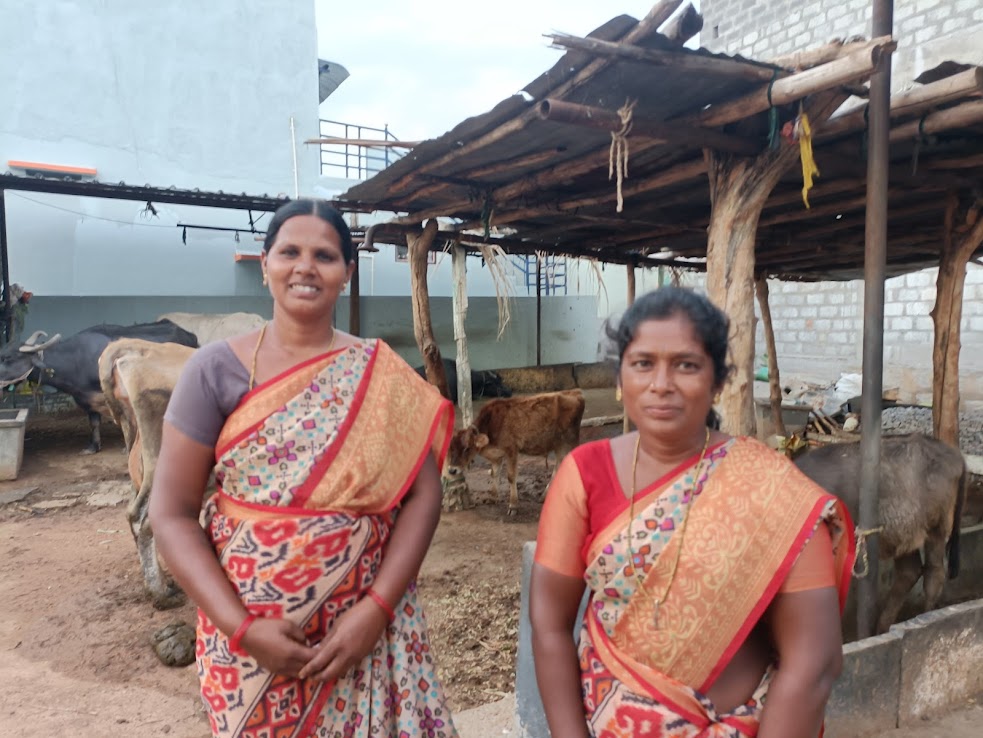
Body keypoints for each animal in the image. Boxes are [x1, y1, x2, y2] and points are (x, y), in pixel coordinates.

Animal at [446, 388, 584, 516]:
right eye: (451, 448)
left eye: (467, 448)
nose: (452, 470)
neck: (492, 424)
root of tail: (576, 392)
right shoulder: (497, 455)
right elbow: (494, 473)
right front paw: (493, 497)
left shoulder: (511, 449)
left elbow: (511, 477)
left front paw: (513, 505)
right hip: (559, 446)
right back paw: (545, 496)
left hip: (568, 442)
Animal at [796, 432, 964, 632]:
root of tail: (952, 454)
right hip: (903, 534)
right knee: (910, 571)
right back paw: (883, 626)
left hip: (937, 527)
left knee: (934, 572)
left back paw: (925, 615)